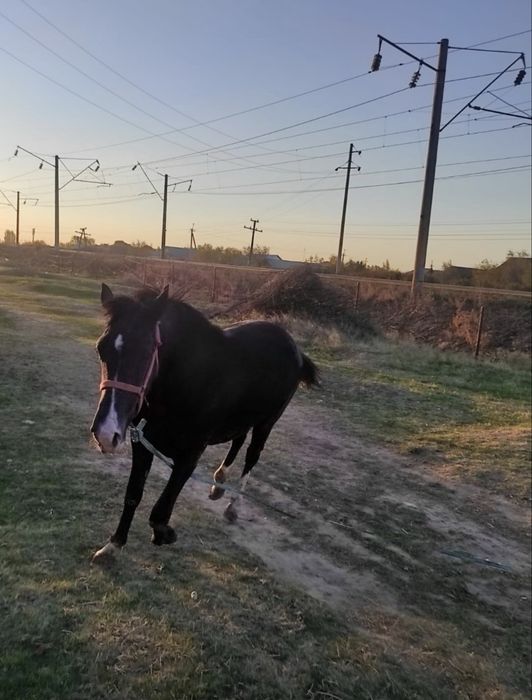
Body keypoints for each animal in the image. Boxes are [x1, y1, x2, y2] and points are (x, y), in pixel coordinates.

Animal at [90, 283, 318, 562]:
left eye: (146, 350)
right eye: (101, 348)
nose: (105, 433)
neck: (184, 383)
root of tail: (294, 347)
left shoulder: (191, 454)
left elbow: (160, 510)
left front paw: (165, 533)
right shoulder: (142, 445)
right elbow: (133, 494)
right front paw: (113, 545)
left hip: (267, 423)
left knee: (252, 456)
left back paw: (233, 505)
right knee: (238, 439)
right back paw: (219, 482)